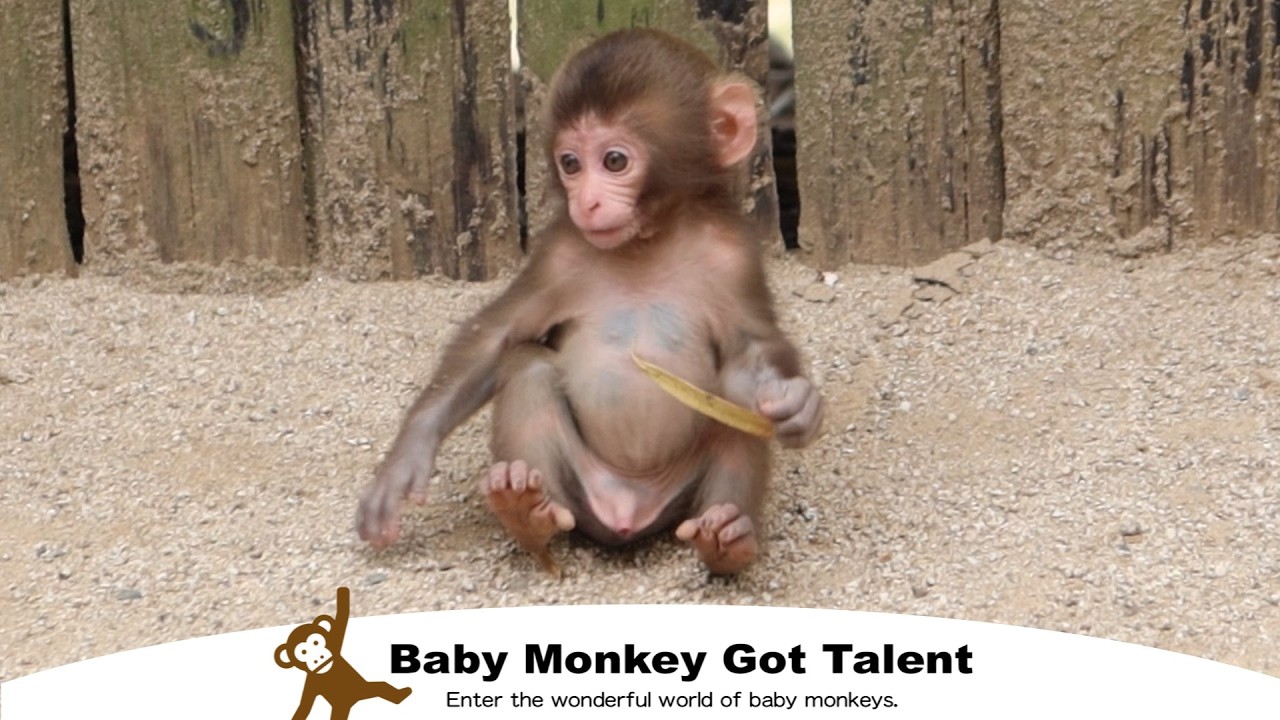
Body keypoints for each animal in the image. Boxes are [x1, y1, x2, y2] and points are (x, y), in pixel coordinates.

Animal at [275, 587, 411, 720]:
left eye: (316, 642)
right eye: (303, 652)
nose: (318, 657)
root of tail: (354, 701)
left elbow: (342, 617)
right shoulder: (311, 682)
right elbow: (305, 705)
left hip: (366, 689)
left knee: (381, 686)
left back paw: (402, 694)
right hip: (341, 706)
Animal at [357, 28, 823, 575]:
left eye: (614, 161)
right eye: (571, 164)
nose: (586, 202)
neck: (646, 244)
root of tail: (627, 510)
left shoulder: (733, 257)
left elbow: (753, 354)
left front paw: (798, 405)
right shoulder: (560, 255)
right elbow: (498, 337)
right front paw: (406, 459)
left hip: (677, 502)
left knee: (732, 398)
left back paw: (727, 540)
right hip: (583, 493)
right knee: (529, 367)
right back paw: (526, 513)